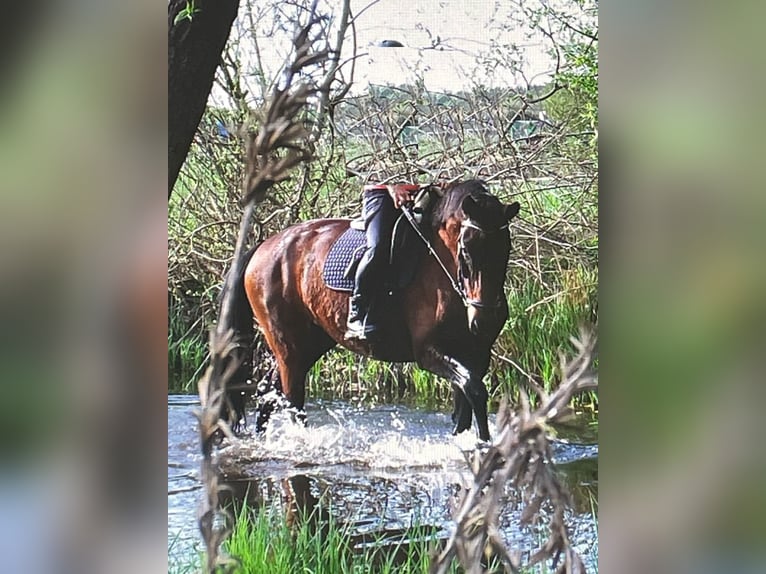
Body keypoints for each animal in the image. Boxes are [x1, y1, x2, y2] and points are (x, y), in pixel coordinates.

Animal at [226, 179, 520, 441]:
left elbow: (465, 406)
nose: (485, 320)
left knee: (267, 390)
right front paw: (484, 444)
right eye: (466, 250)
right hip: (288, 346)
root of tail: (264, 247)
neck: (444, 267)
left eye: (505, 248)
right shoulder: (429, 352)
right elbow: (475, 391)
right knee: (292, 401)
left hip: (311, 342)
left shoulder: (475, 354)